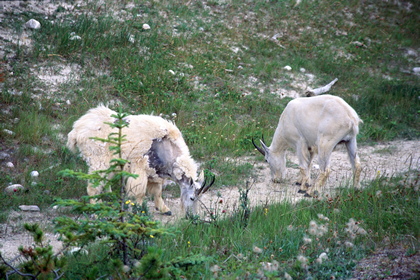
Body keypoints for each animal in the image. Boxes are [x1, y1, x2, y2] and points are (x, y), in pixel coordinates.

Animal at [68, 105, 217, 217]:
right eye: (192, 198)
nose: (193, 217)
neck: (167, 148)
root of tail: (76, 130)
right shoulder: (139, 168)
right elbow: (139, 193)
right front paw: (138, 211)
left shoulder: (155, 171)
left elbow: (157, 191)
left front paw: (164, 209)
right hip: (98, 159)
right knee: (93, 185)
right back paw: (96, 209)